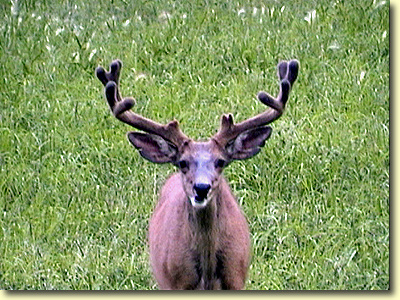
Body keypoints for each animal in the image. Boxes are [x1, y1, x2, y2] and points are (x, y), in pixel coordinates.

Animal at [95, 57, 298, 290]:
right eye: (182, 163)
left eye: (220, 162)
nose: (202, 188)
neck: (208, 274)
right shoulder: (175, 283)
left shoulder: (237, 279)